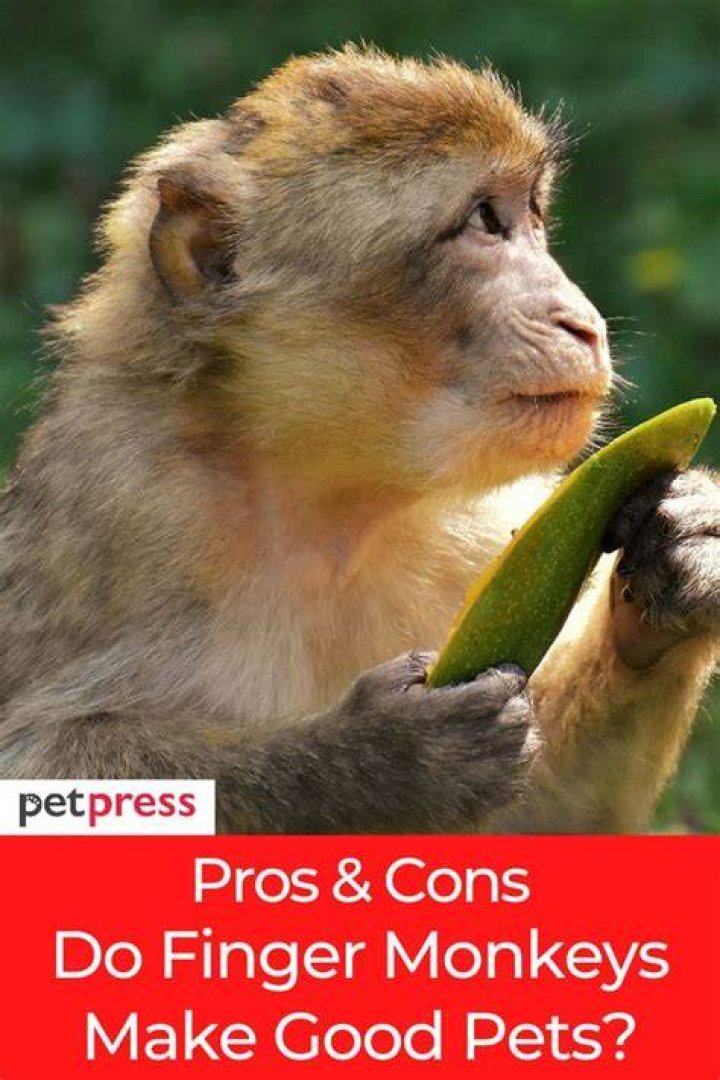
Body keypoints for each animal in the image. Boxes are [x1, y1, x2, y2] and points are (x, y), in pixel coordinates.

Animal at [0, 46, 717, 833]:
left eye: (529, 214)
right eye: (483, 220)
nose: (581, 322)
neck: (332, 502)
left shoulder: (484, 524)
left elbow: (543, 819)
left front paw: (680, 554)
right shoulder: (121, 502)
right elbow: (40, 755)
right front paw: (378, 759)